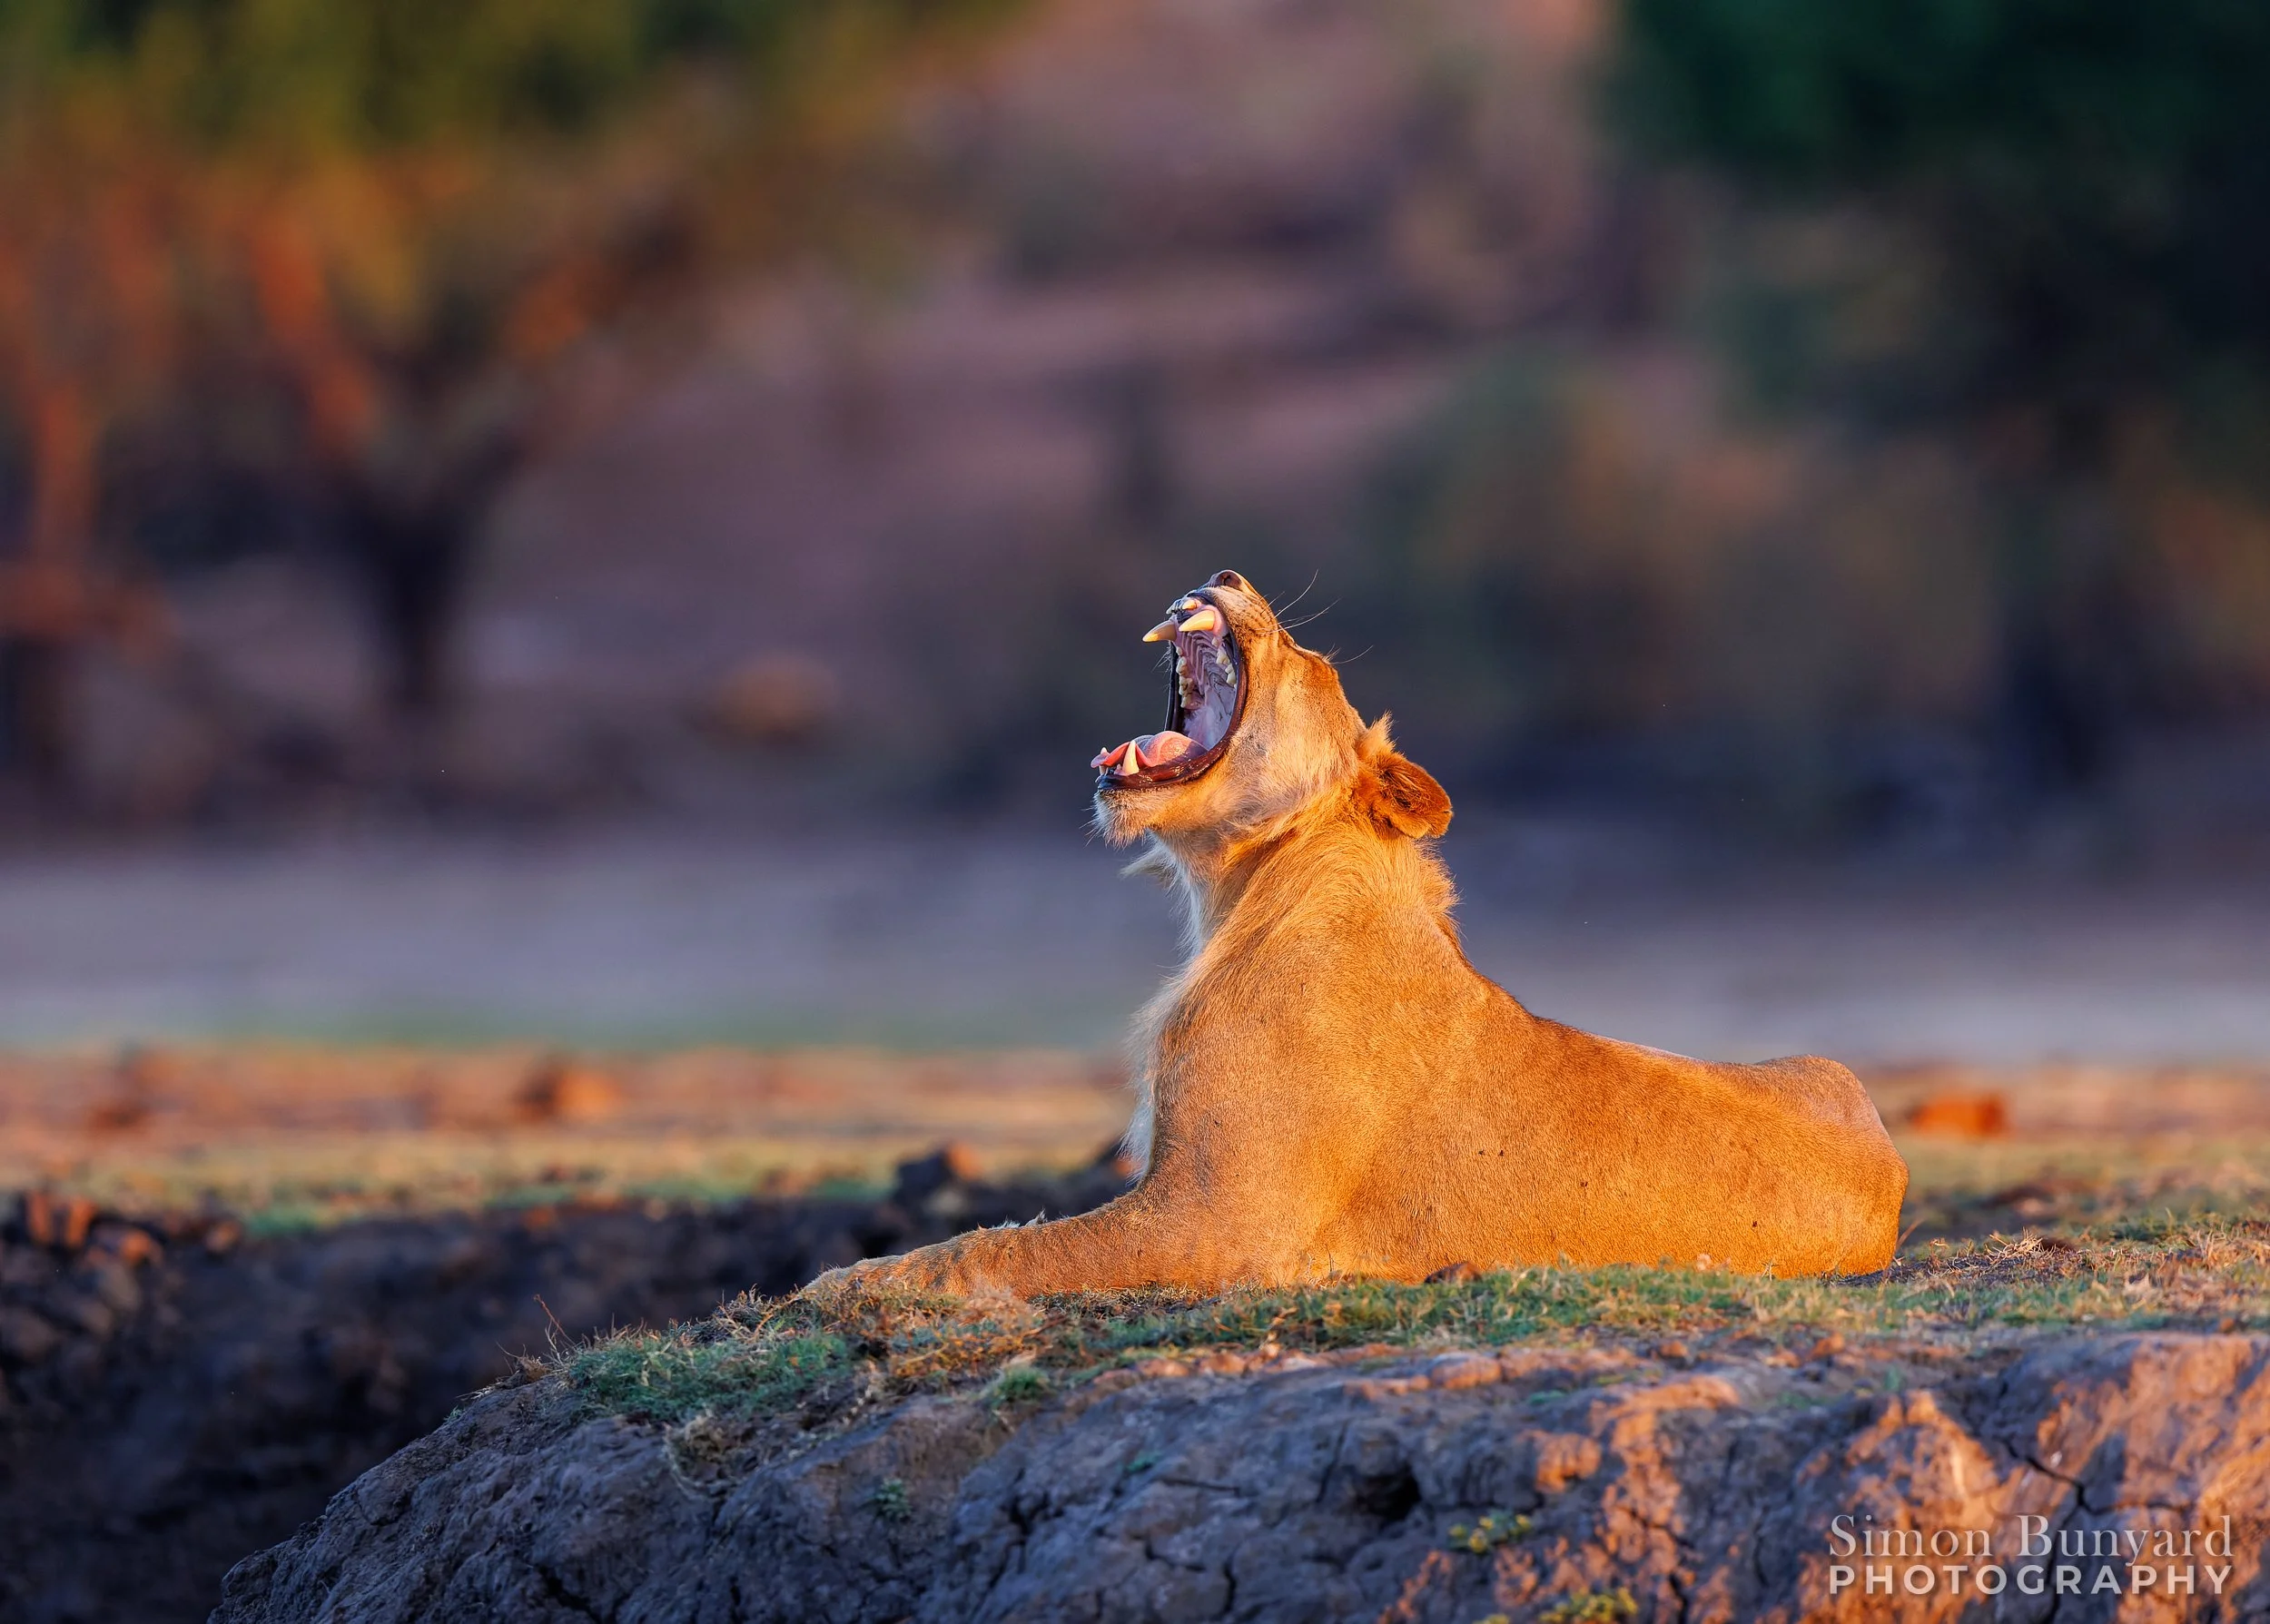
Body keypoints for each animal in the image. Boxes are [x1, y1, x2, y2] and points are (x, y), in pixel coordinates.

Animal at [809, 570, 1908, 1298]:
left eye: (1310, 657)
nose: (1223, 576)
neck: (1239, 888)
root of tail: (1898, 1182)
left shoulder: (1214, 1220)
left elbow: (999, 1245)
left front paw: (838, 1290)